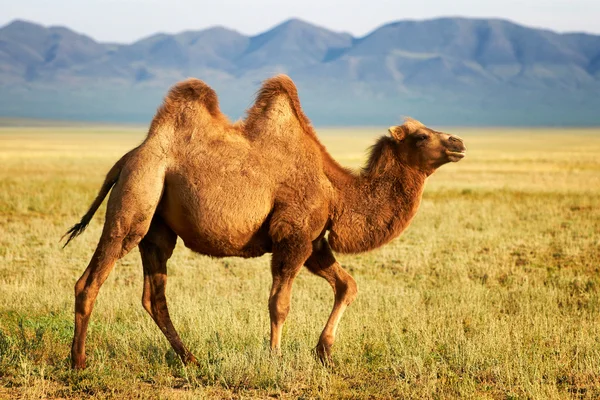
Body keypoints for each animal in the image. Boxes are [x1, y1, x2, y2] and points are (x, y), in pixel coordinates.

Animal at [67, 74, 468, 368]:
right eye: (422, 135)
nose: (459, 142)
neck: (336, 191)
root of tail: (127, 158)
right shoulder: (292, 235)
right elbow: (279, 302)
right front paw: (275, 357)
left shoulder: (313, 240)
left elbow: (347, 286)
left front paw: (324, 352)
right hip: (137, 196)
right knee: (91, 279)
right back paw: (79, 361)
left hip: (158, 229)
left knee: (154, 296)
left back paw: (190, 359)